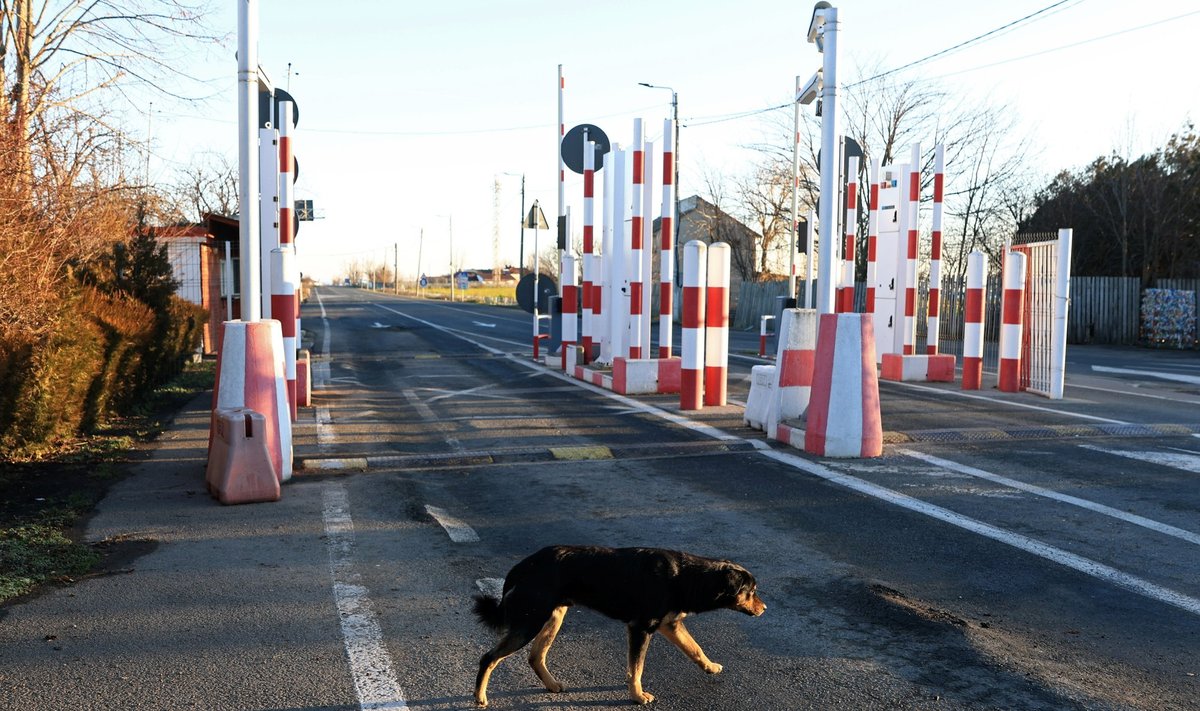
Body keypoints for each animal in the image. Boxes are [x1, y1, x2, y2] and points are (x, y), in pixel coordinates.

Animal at [470, 545, 763, 706]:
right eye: (751, 591)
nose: (764, 609)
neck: (687, 576)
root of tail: (522, 566)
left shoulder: (671, 625)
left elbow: (695, 649)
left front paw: (710, 667)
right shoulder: (641, 628)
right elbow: (636, 668)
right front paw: (637, 696)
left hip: (552, 617)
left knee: (535, 656)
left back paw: (551, 685)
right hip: (530, 621)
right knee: (489, 658)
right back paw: (480, 697)